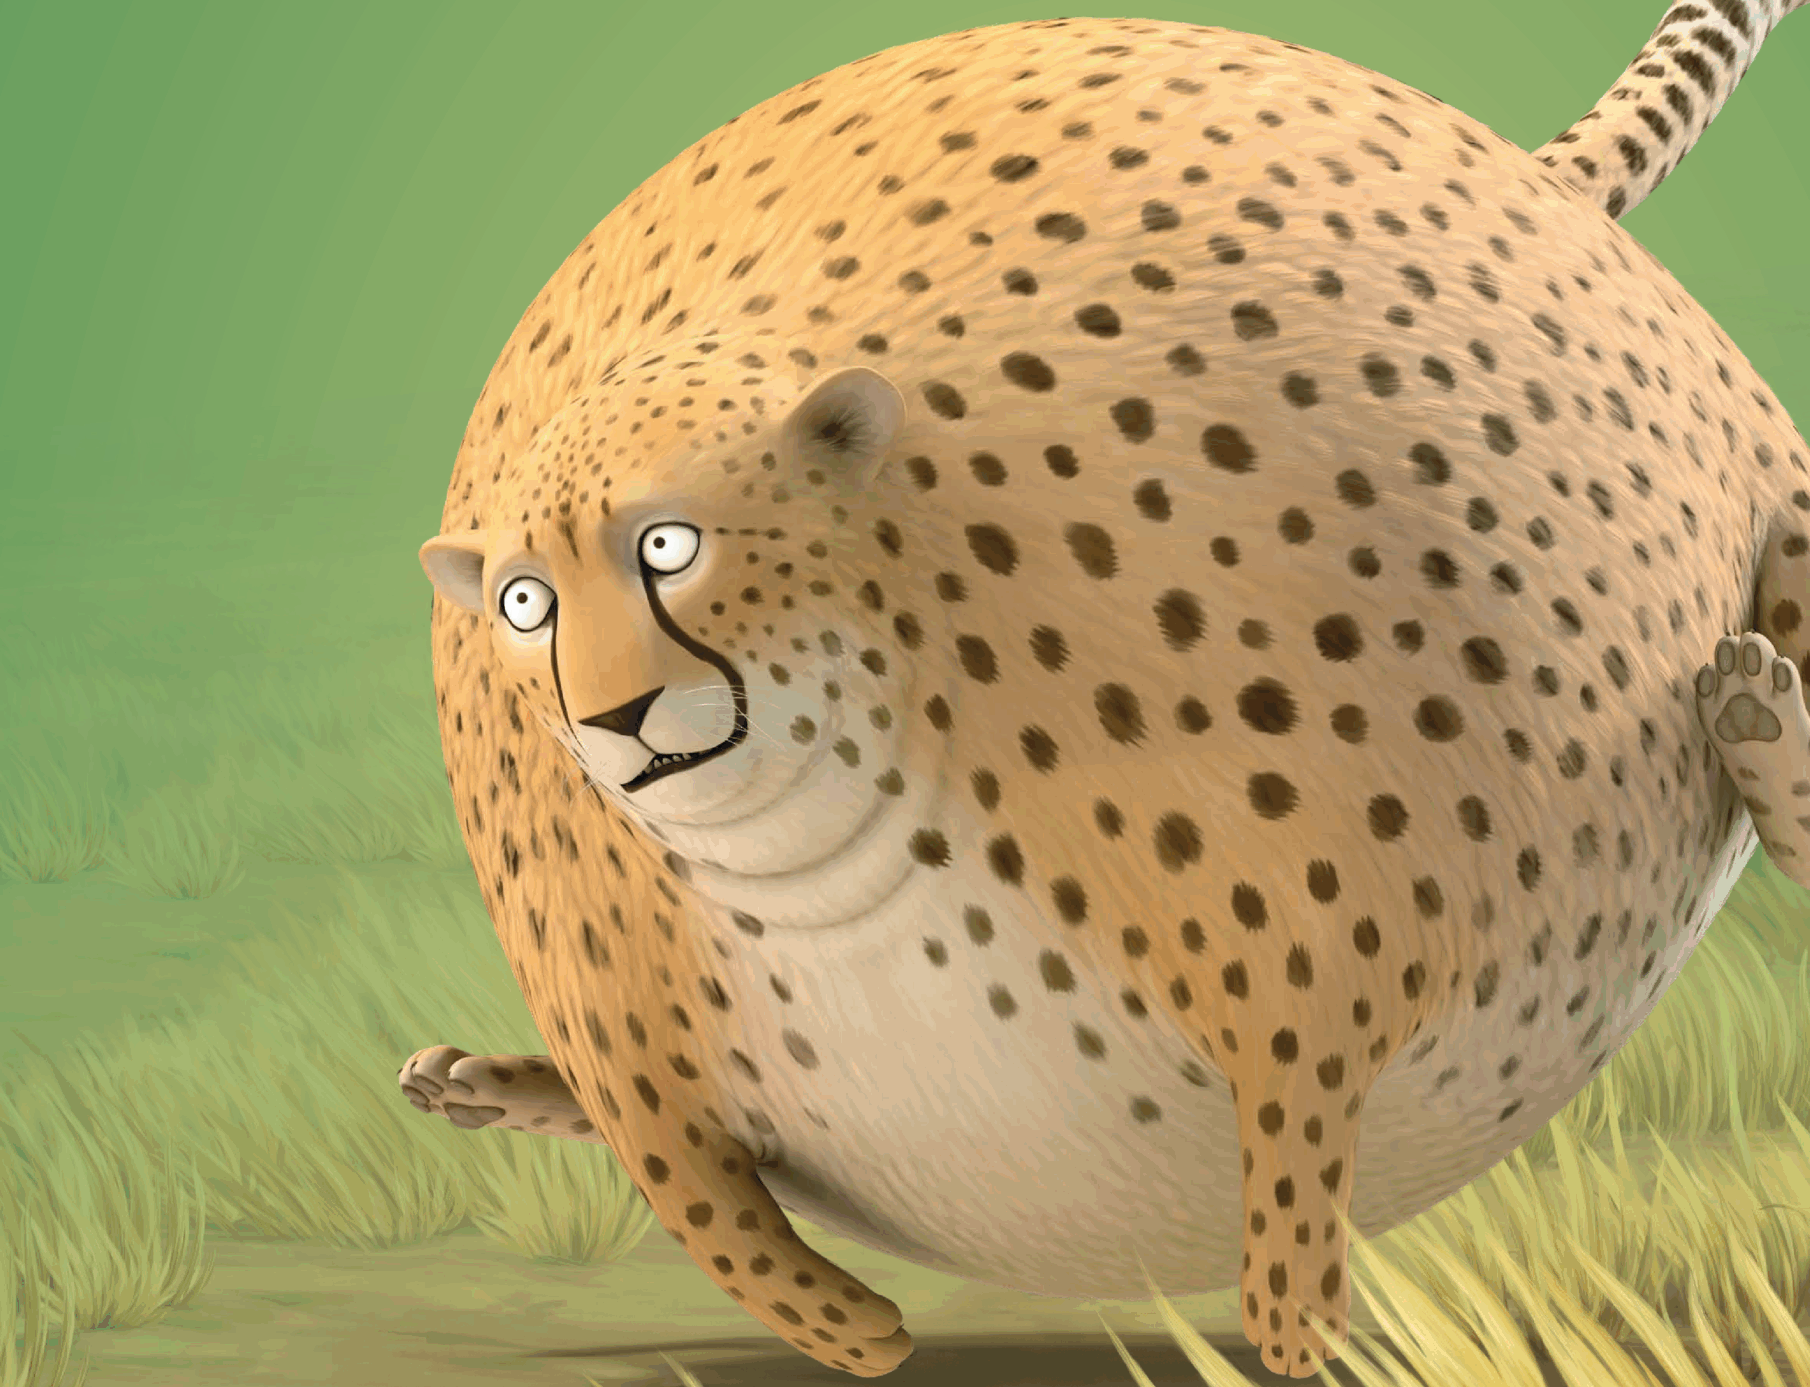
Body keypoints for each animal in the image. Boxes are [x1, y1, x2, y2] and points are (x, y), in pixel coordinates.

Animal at [406, 0, 1809, 1376]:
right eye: (524, 604)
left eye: (669, 546)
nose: (612, 721)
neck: (828, 836)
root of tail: (1523, 170)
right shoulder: (638, 1050)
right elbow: (706, 1206)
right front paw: (859, 1328)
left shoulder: (1315, 989)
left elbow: (1292, 1221)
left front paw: (1305, 1342)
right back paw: (468, 1078)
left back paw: (1755, 717)